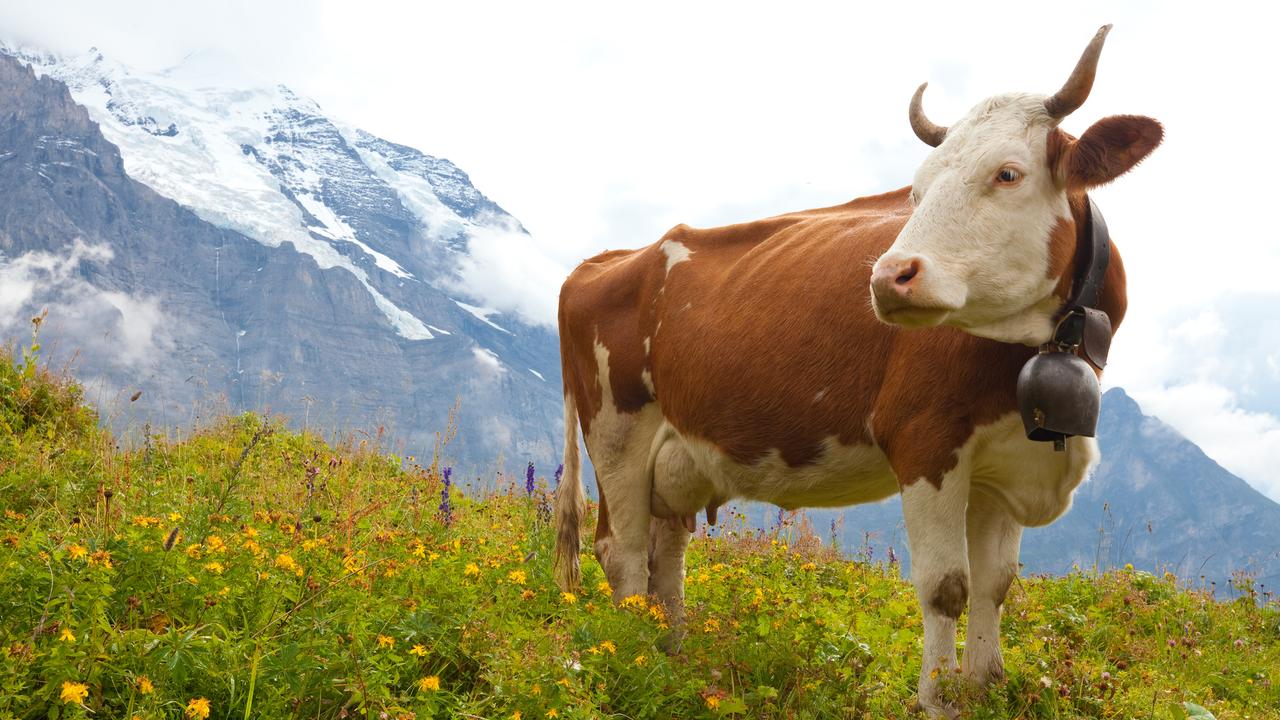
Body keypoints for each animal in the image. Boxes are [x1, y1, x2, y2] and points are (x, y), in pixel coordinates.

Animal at [550, 25, 1162, 712]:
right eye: (916, 191)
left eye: (1008, 173)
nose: (888, 275)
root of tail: (612, 257)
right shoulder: (925, 441)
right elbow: (946, 585)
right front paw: (937, 701)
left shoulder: (1004, 460)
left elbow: (995, 584)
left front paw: (985, 688)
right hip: (616, 433)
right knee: (622, 551)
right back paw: (628, 656)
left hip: (676, 452)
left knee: (666, 550)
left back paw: (671, 657)